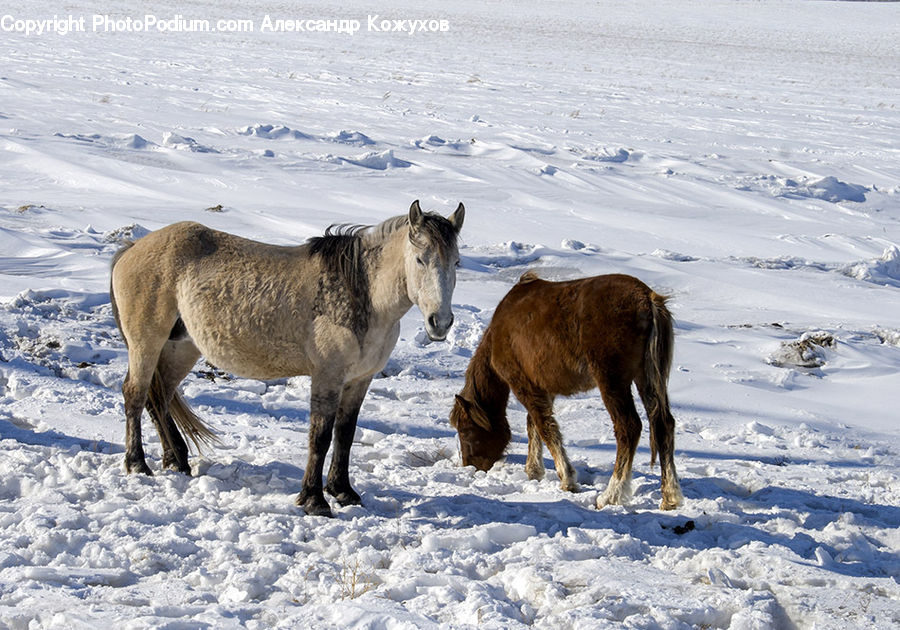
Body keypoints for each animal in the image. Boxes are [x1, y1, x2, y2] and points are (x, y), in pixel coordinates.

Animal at [107, 202, 464, 520]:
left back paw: (177, 461)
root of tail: (133, 248)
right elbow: (320, 435)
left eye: (456, 263)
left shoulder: (359, 380)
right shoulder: (327, 376)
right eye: (419, 259)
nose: (440, 322)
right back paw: (138, 463)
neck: (361, 294)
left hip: (181, 347)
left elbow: (345, 433)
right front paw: (314, 500)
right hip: (146, 343)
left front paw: (343, 491)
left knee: (160, 398)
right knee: (136, 394)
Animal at [450, 272, 684, 512]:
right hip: (646, 379)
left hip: (612, 382)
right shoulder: (542, 388)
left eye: (465, 430)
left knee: (629, 428)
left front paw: (567, 479)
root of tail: (647, 299)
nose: (471, 466)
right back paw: (670, 497)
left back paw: (610, 495)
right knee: (663, 425)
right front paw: (534, 470)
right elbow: (534, 425)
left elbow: (545, 427)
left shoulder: (523, 386)